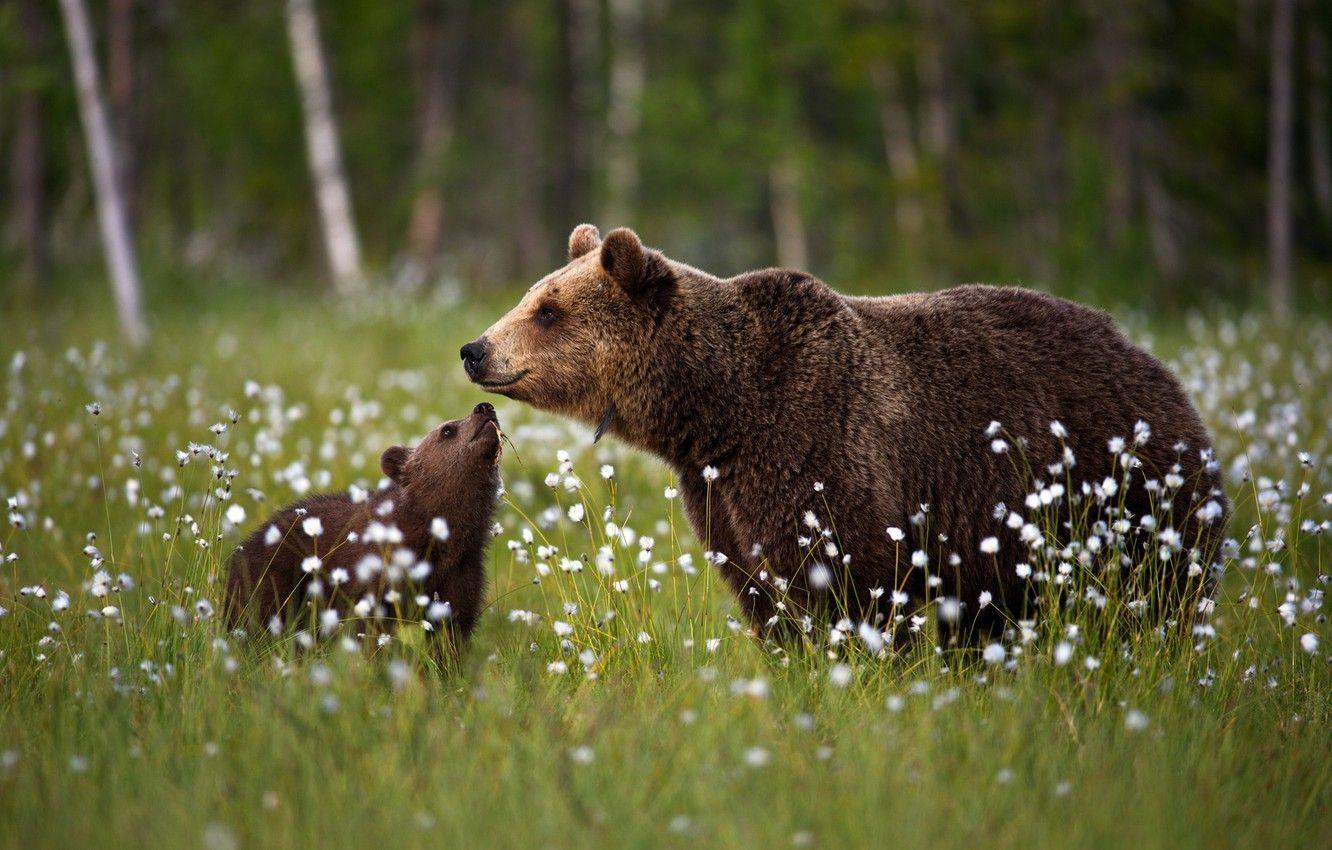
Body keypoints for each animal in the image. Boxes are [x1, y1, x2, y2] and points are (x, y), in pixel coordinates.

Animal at [225, 403, 503, 646]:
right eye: (447, 429)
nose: (485, 407)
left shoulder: (460, 576)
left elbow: (450, 634)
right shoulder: (374, 575)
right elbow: (369, 630)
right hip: (273, 577)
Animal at [461, 225, 1228, 641]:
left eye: (549, 310)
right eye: (532, 296)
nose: (475, 348)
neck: (720, 410)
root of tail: (1161, 370)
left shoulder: (818, 444)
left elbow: (847, 577)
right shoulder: (721, 493)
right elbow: (761, 591)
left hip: (1128, 496)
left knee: (1154, 594)